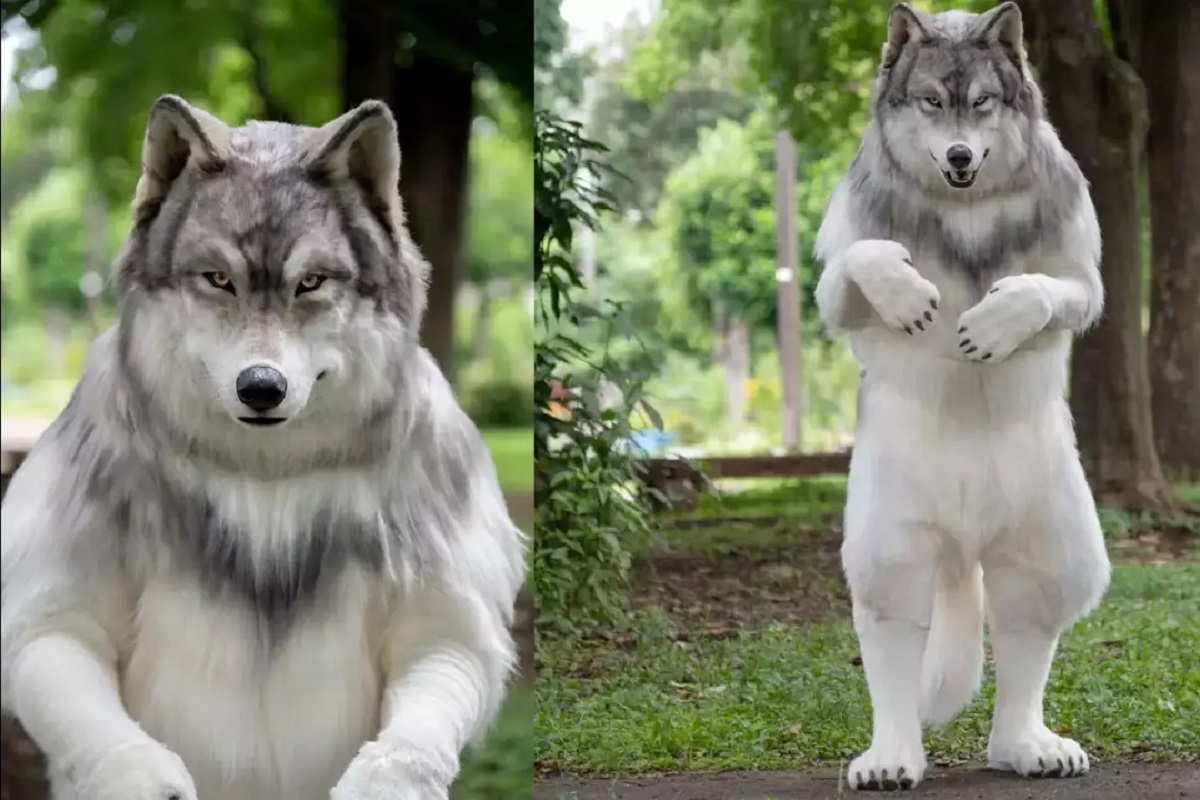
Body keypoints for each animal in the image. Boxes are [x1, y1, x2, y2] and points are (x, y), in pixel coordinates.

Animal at [0, 96, 526, 800]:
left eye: (312, 283)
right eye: (219, 279)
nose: (261, 388)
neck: (266, 480)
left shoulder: (446, 629)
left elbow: (421, 716)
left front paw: (387, 779)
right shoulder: (52, 621)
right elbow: (78, 682)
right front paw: (139, 773)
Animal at [813, 2, 1109, 791]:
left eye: (981, 104)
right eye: (929, 102)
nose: (958, 158)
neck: (964, 206)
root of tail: (966, 534)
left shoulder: (1076, 268)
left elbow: (1057, 288)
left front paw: (1001, 318)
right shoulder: (843, 266)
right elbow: (858, 264)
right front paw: (903, 289)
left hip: (1047, 521)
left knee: (1028, 615)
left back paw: (1025, 745)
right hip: (893, 526)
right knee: (893, 619)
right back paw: (893, 756)